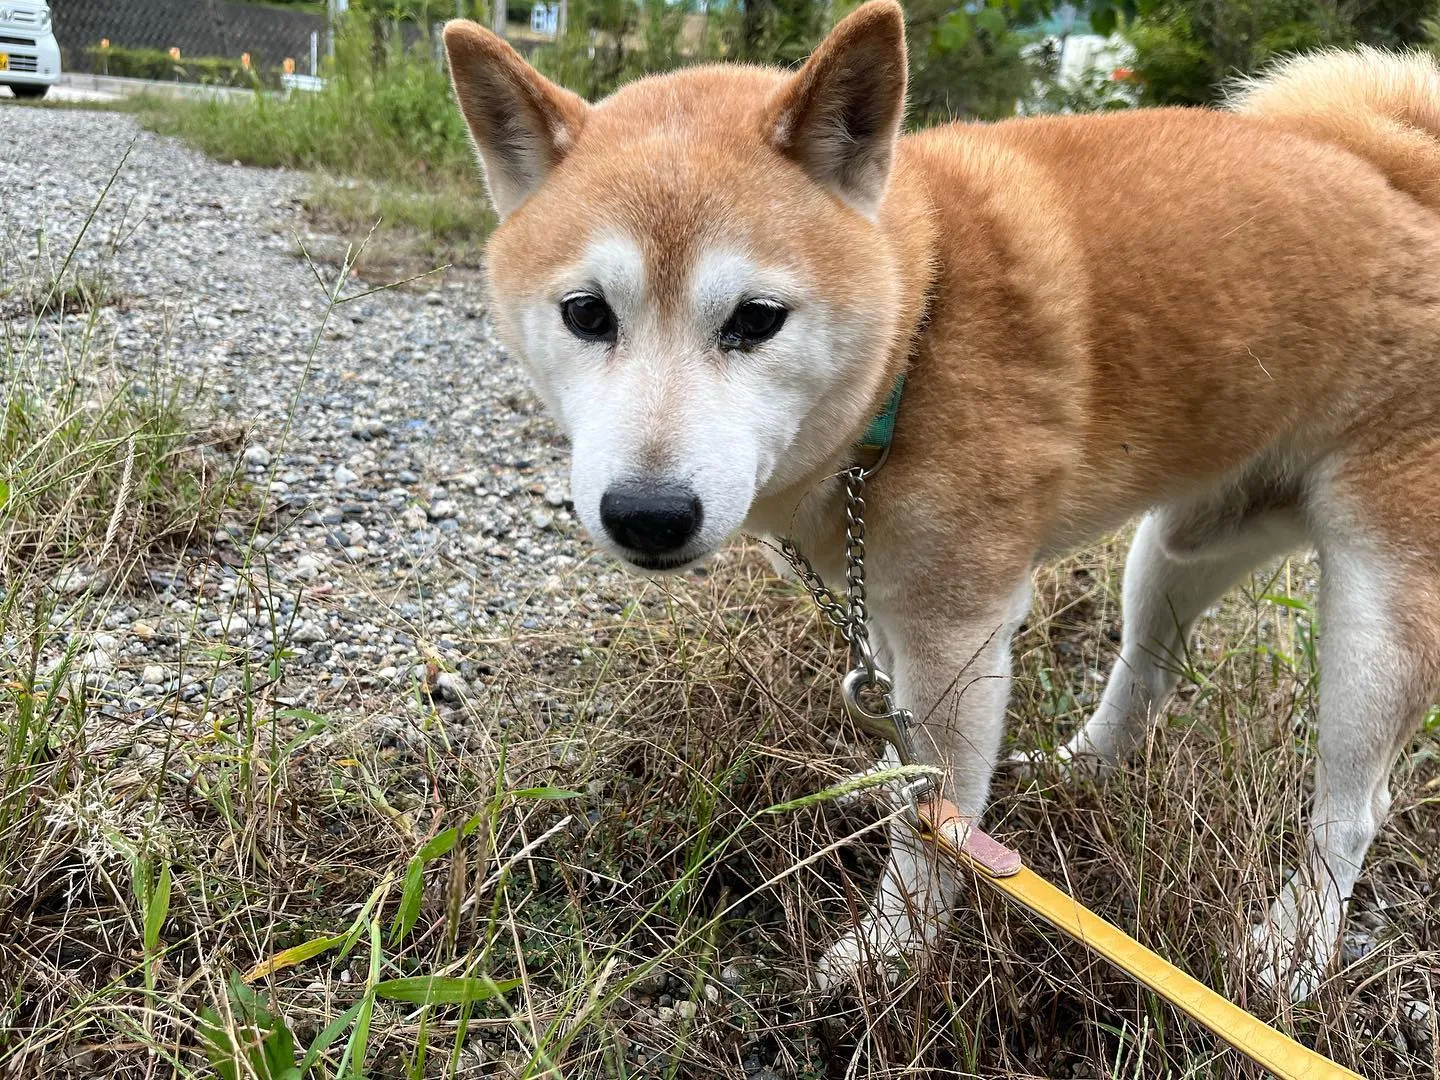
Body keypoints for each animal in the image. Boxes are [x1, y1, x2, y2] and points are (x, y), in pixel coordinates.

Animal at [443, 6, 1440, 1008]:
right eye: (587, 313)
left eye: (756, 319)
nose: (648, 514)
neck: (918, 328)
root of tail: (1402, 178)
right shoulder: (889, 608)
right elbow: (908, 762)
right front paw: (888, 807)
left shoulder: (953, 632)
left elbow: (936, 815)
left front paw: (897, 946)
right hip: (1180, 546)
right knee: (1149, 670)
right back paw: (1078, 770)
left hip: (1377, 619)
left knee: (1356, 806)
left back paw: (1297, 946)